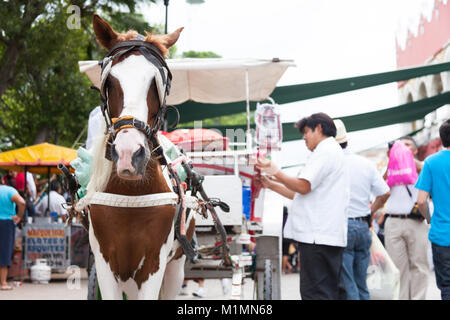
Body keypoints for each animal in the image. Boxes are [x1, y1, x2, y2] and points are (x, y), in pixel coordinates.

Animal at [86, 14, 195, 300]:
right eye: (110, 81)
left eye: (158, 83)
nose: (128, 154)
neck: (130, 196)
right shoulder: (105, 263)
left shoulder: (153, 263)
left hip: (176, 264)